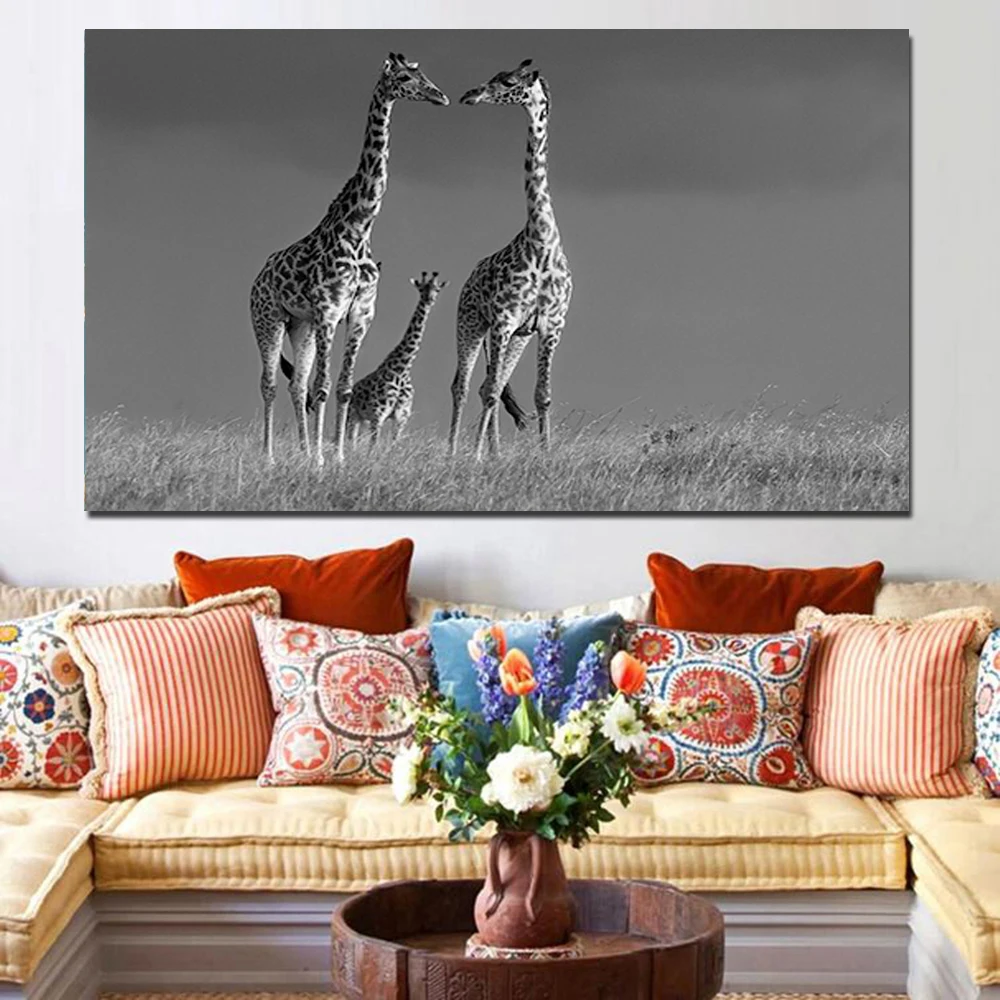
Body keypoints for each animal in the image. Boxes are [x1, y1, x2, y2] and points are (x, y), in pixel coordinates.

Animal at [346, 271, 448, 448]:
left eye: (437, 289)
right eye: (422, 289)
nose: (429, 300)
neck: (402, 370)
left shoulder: (401, 418)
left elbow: (394, 445)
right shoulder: (378, 414)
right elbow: (374, 446)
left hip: (363, 419)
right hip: (353, 415)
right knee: (349, 440)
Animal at [448, 59, 572, 459]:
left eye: (507, 81)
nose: (469, 94)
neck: (542, 241)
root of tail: (469, 277)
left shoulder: (550, 325)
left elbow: (542, 395)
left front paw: (547, 454)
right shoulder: (502, 320)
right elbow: (487, 392)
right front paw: (473, 457)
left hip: (516, 336)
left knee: (493, 384)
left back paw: (496, 453)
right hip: (471, 321)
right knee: (464, 385)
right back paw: (456, 452)